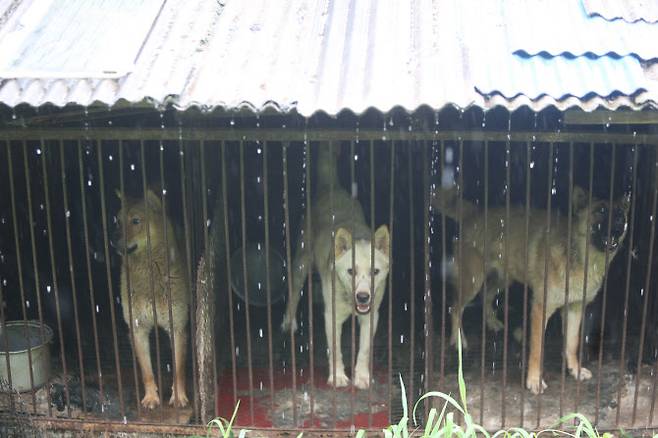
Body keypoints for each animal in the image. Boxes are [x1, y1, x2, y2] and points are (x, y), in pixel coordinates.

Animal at [113, 188, 187, 408]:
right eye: (117, 221)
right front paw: (151, 398)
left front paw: (178, 397)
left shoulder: (177, 327)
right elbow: (146, 371)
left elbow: (178, 369)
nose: (112, 238)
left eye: (136, 221)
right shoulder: (137, 328)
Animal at [278, 147, 390, 390]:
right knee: (294, 290)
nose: (363, 297)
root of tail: (332, 187)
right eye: (351, 271)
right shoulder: (332, 316)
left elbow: (364, 349)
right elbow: (336, 350)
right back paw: (289, 322)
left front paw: (362, 377)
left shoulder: (372, 316)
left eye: (375, 272)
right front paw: (338, 376)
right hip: (301, 262)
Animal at [434, 185, 628, 394]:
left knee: (486, 296)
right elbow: (537, 349)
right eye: (601, 210)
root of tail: (475, 212)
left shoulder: (575, 308)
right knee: (455, 307)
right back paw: (458, 340)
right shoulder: (540, 308)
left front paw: (574, 370)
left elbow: (572, 343)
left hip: (504, 279)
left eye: (620, 213)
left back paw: (492, 322)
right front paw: (534, 381)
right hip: (473, 281)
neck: (581, 257)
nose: (619, 221)